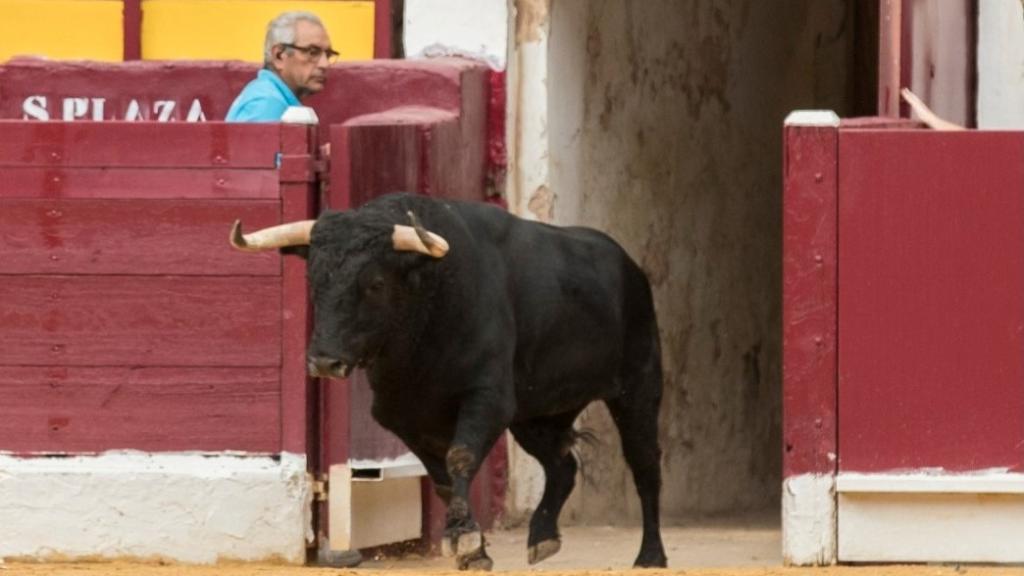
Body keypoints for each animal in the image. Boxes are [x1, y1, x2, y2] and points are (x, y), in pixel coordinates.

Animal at [228, 191, 667, 565]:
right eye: (314, 281)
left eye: (375, 283)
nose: (324, 361)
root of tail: (629, 266)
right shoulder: (399, 415)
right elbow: (439, 477)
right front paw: (474, 547)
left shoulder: (487, 399)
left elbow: (460, 457)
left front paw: (464, 538)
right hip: (537, 415)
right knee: (562, 466)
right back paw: (542, 537)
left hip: (638, 389)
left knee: (645, 465)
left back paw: (650, 557)